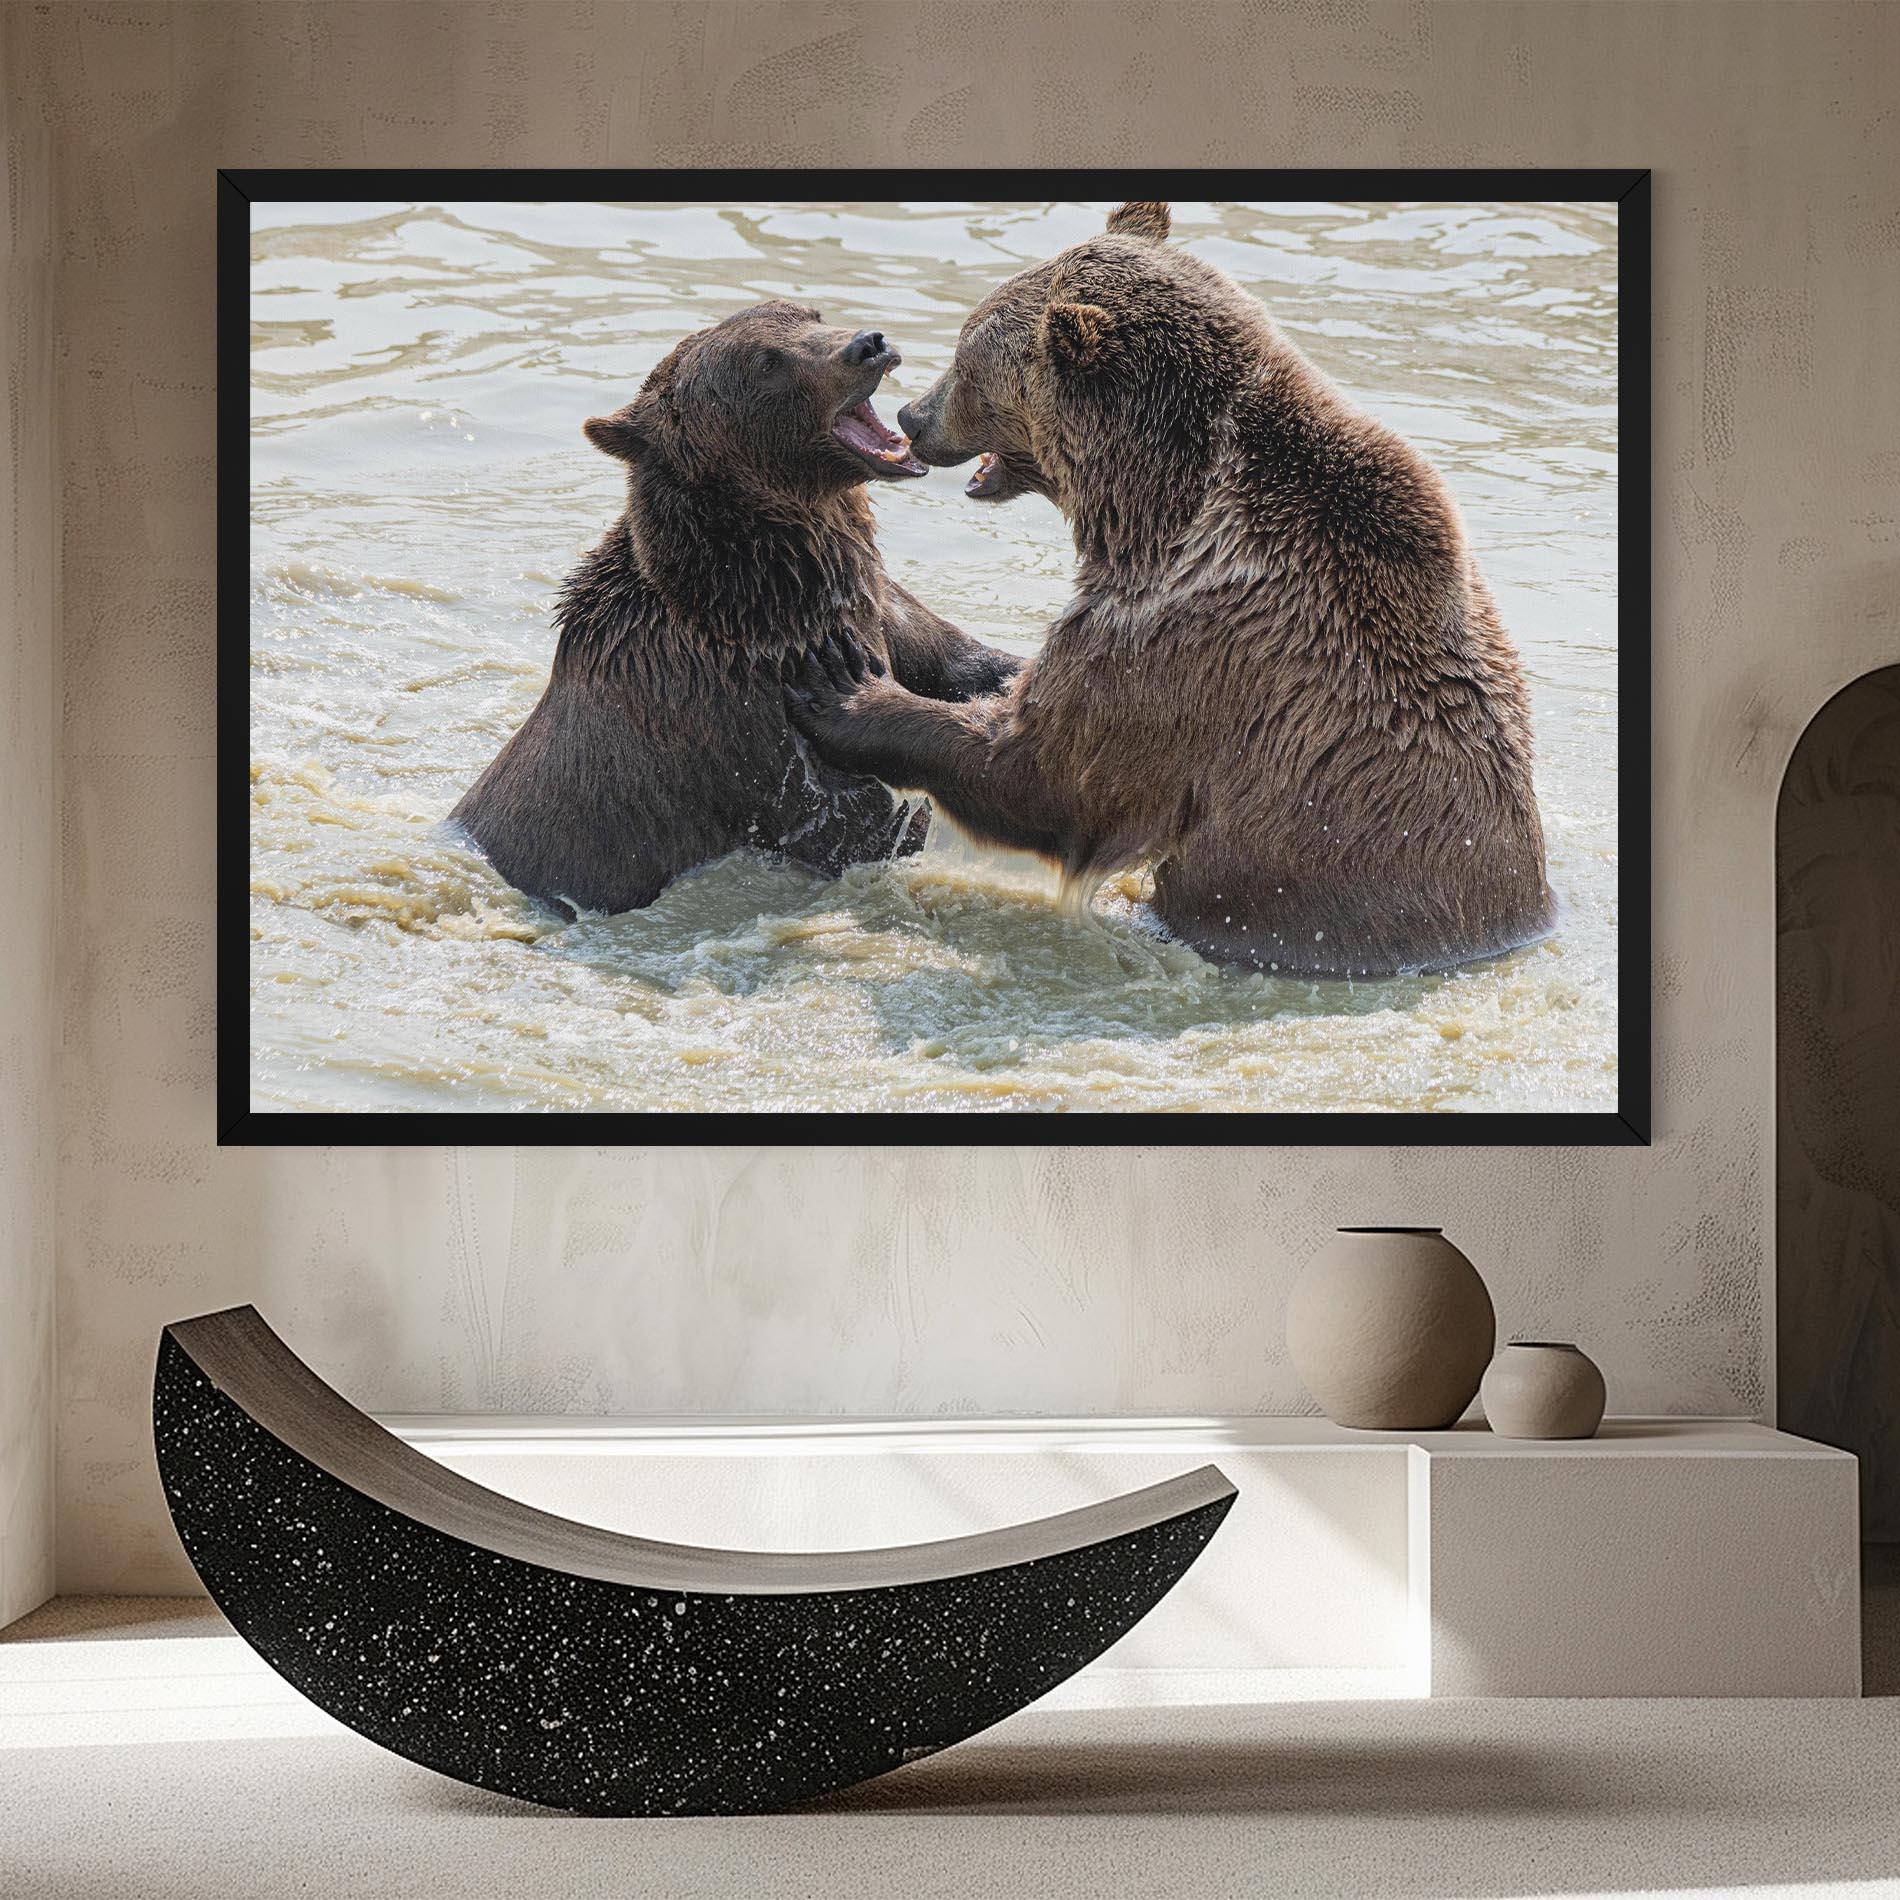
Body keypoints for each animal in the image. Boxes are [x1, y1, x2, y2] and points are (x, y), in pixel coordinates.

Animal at [449, 300, 1021, 917]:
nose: (868, 344)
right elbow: (857, 820)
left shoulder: (878, 606)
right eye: (766, 362)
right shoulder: (742, 719)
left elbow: (963, 661)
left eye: (809, 314)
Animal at [786, 202, 1556, 979]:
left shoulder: (1182, 641)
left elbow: (1047, 772)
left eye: (968, 362)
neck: (1153, 508)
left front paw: (847, 690)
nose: (914, 416)